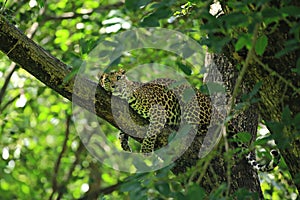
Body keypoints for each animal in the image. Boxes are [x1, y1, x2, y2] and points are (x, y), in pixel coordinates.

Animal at [99, 69, 280, 172]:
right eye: (107, 80)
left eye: (119, 78)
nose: (114, 86)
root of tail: (215, 109)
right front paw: (123, 141)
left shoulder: (158, 112)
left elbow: (151, 133)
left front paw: (146, 150)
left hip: (190, 103)